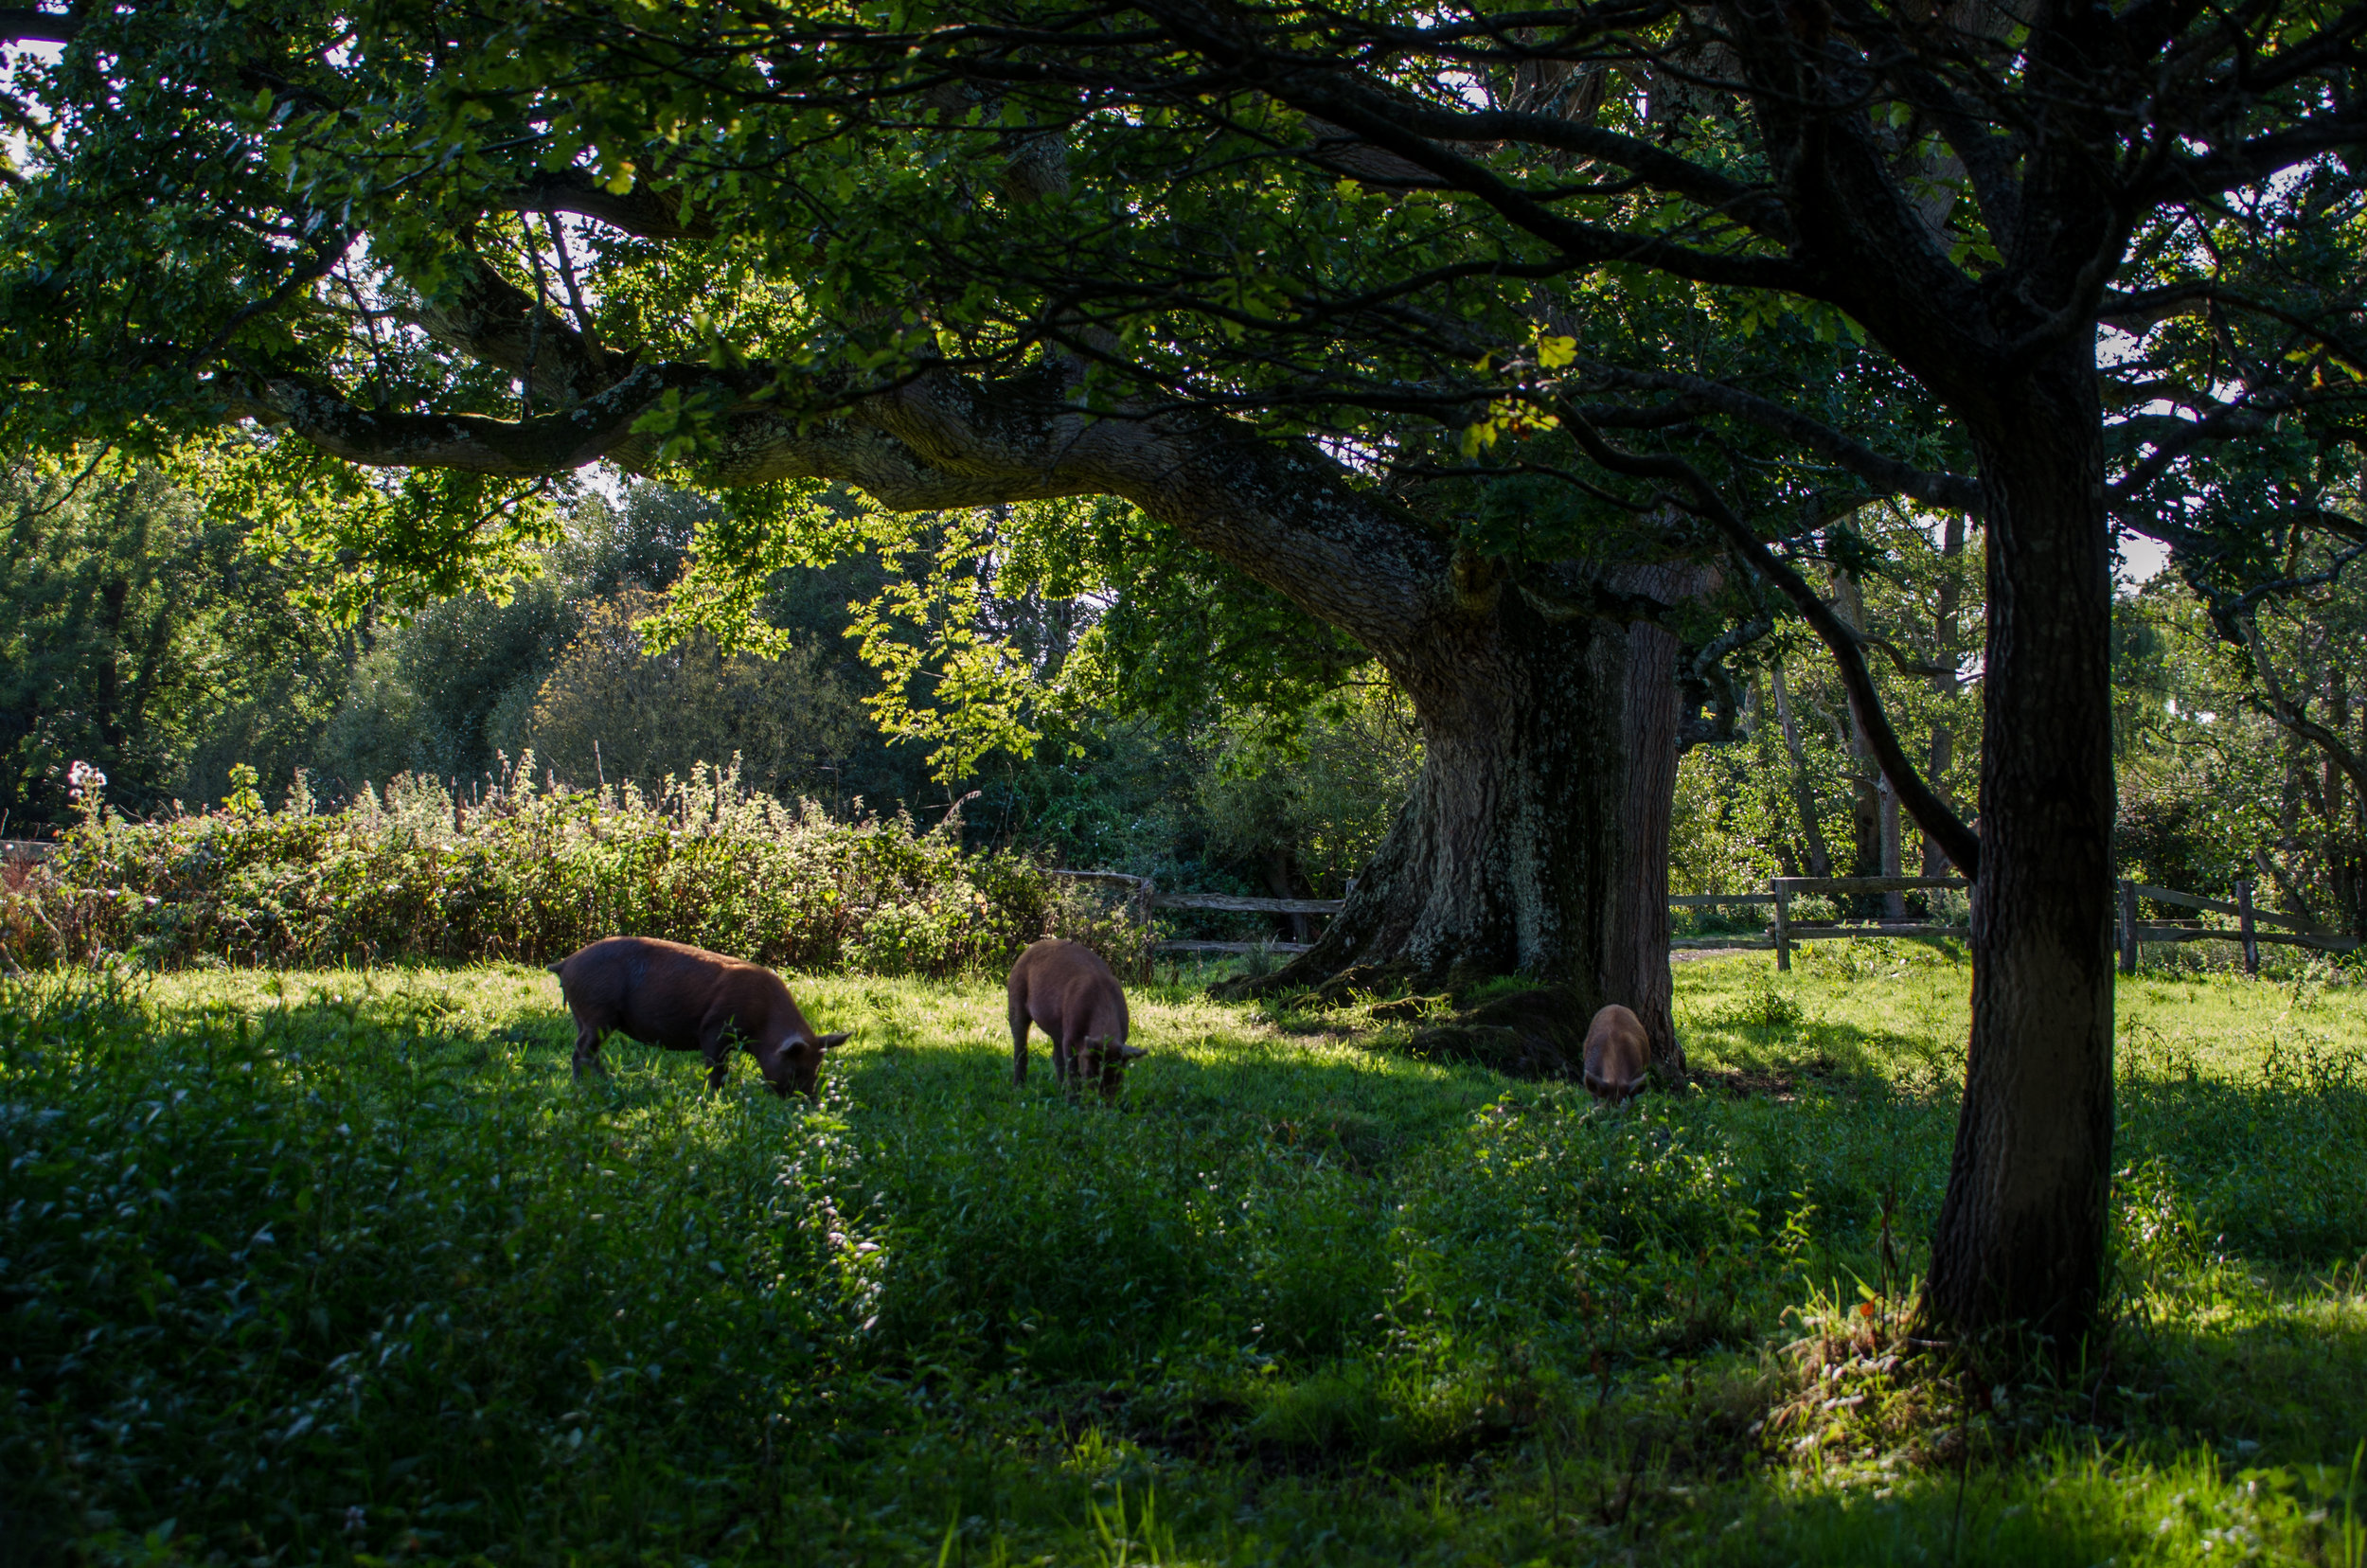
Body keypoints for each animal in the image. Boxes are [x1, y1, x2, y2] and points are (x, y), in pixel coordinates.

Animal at [551, 937, 852, 1098]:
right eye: (797, 1069)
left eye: (817, 1068)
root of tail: (566, 963)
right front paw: (715, 1097)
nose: (810, 1102)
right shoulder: (714, 1029)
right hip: (597, 1012)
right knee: (581, 1052)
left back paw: (608, 1082)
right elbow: (716, 1069)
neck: (763, 1024)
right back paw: (583, 1087)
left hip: (586, 1017)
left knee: (590, 1052)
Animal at [1004, 937, 1141, 1098]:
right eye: (1090, 1072)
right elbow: (1073, 1070)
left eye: (1118, 1077)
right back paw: (1018, 1088)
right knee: (1020, 1045)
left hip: (1057, 1026)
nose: (1102, 1102)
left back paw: (1060, 1090)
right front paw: (1072, 1101)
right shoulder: (1070, 1035)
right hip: (1015, 995)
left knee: (1056, 1056)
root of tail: (1029, 948)